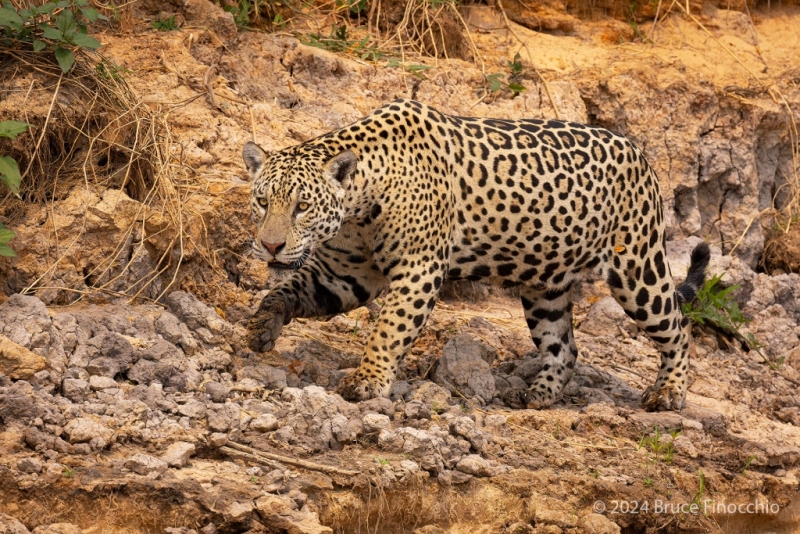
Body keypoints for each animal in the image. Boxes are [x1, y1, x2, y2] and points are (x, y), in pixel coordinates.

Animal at [242, 98, 710, 412]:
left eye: (302, 206)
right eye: (263, 202)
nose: (270, 245)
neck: (360, 202)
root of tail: (641, 153)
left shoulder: (418, 268)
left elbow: (388, 330)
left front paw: (368, 382)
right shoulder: (345, 274)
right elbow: (287, 290)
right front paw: (262, 327)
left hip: (637, 269)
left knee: (678, 326)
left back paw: (669, 392)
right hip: (545, 286)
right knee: (565, 346)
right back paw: (538, 395)